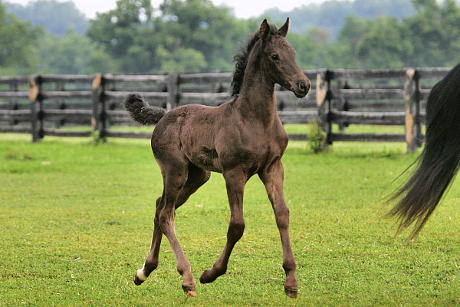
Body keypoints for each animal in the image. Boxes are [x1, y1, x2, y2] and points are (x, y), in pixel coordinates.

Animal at [126, 18, 310, 300]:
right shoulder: (235, 172)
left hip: (197, 176)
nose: (304, 85)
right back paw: (187, 278)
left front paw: (290, 282)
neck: (255, 119)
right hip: (175, 170)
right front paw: (211, 273)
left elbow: (282, 214)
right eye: (275, 56)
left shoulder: (273, 168)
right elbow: (237, 225)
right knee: (166, 213)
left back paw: (144, 271)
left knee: (160, 206)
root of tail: (164, 116)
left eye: (294, 53)